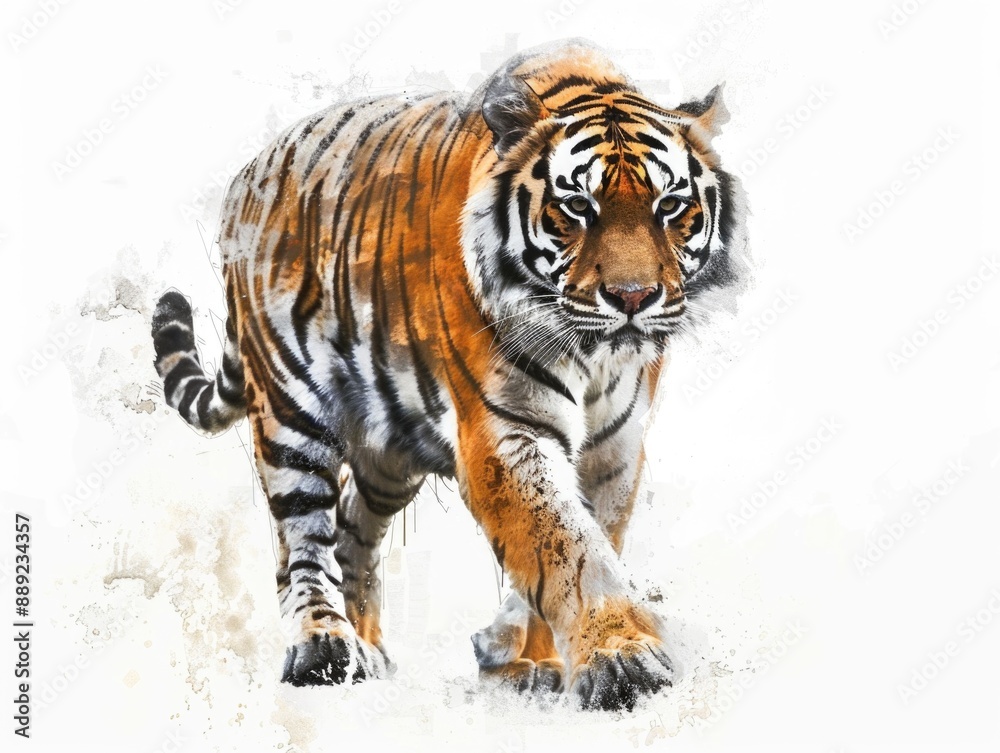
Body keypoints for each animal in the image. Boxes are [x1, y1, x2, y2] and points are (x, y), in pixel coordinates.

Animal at [150, 39, 746, 711]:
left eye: (670, 207)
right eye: (576, 206)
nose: (634, 297)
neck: (596, 356)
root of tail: (248, 174)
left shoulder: (614, 448)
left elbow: (581, 542)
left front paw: (529, 659)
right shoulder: (505, 434)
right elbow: (568, 547)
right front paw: (623, 662)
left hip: (390, 452)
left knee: (351, 530)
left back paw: (370, 650)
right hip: (290, 413)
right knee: (302, 542)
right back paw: (323, 647)